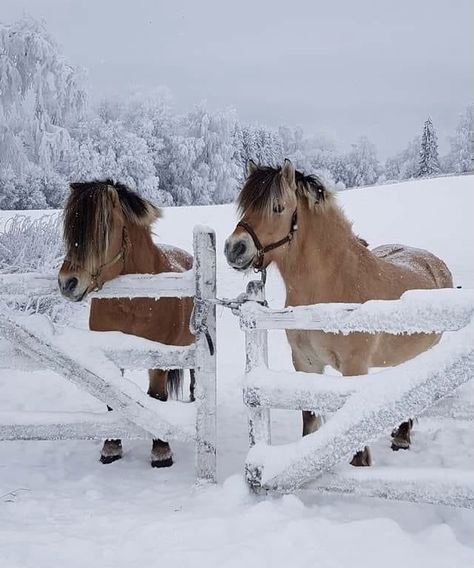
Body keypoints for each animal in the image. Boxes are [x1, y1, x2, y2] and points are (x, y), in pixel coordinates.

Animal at [57, 180, 194, 468]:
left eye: (102, 230)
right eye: (70, 228)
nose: (67, 283)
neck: (134, 301)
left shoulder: (157, 358)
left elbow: (157, 397)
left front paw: (161, 452)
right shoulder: (112, 354)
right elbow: (112, 400)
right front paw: (111, 447)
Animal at [224, 160, 454, 466]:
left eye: (278, 207)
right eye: (246, 206)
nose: (234, 249)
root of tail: (433, 262)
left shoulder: (353, 368)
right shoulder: (305, 364)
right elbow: (309, 421)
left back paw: (402, 437)